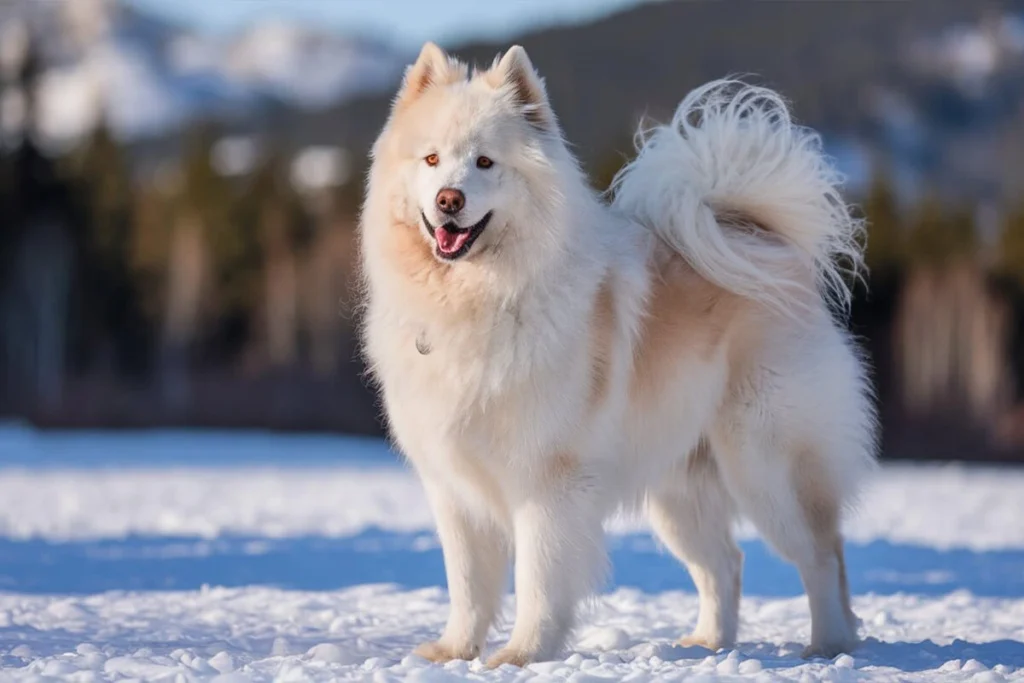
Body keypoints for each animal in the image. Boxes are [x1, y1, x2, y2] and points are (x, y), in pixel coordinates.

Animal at [356, 41, 876, 667]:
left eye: (484, 163)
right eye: (431, 159)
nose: (447, 200)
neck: (479, 300)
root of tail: (765, 244)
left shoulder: (548, 483)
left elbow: (538, 579)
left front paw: (523, 655)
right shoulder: (453, 488)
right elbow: (468, 584)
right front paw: (455, 651)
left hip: (768, 465)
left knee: (822, 555)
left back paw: (827, 646)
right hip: (679, 489)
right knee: (725, 565)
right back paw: (709, 643)